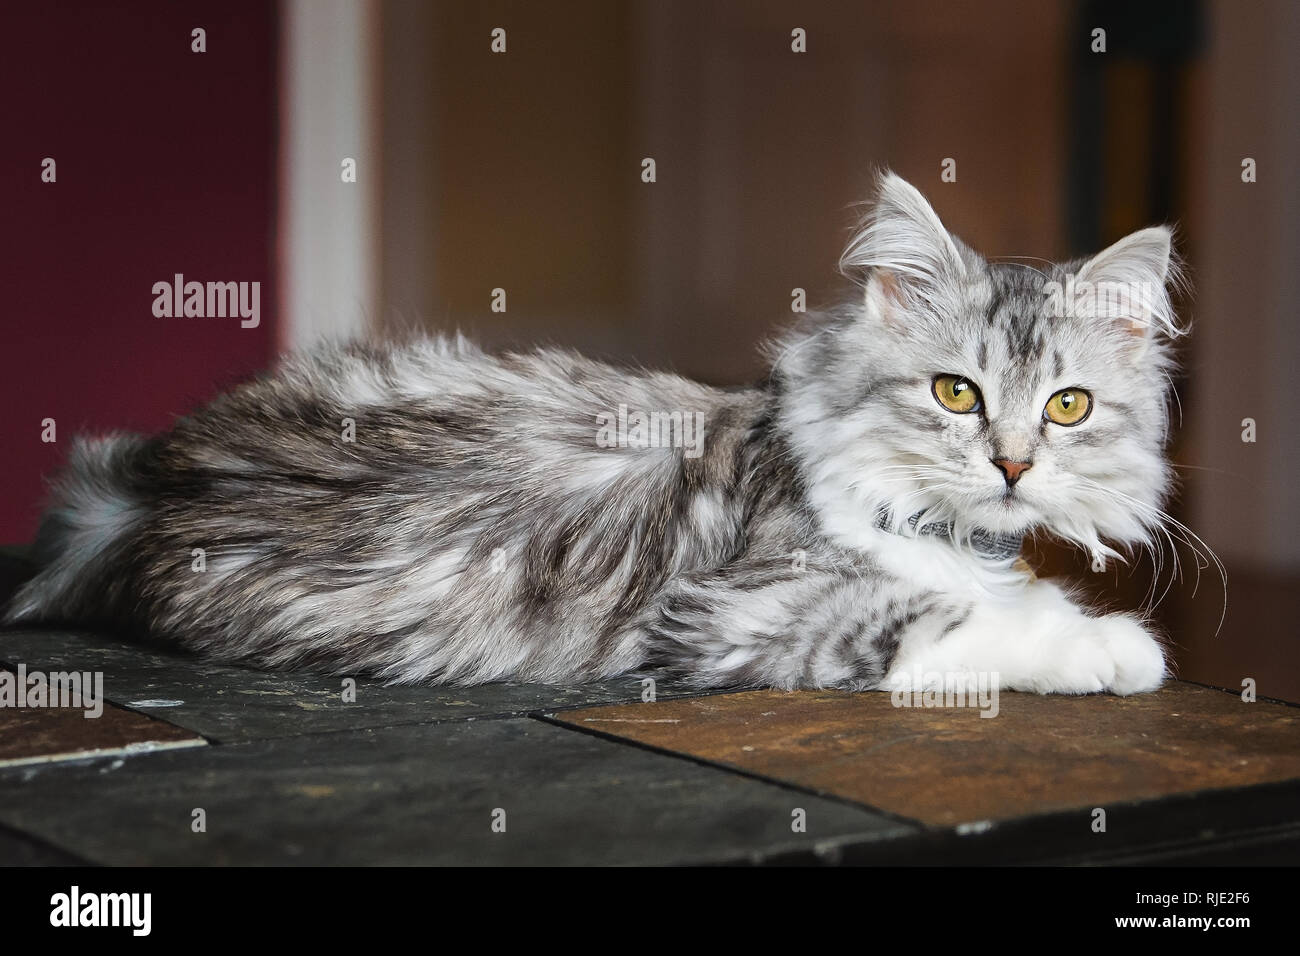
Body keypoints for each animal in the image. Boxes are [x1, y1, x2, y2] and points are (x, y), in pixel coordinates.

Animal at [5, 171, 1190, 697]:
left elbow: (1006, 594)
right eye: (955, 393)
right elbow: (949, 618)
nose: (1012, 465)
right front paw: (1114, 649)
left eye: (1068, 406)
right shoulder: (745, 607)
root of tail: (140, 487)